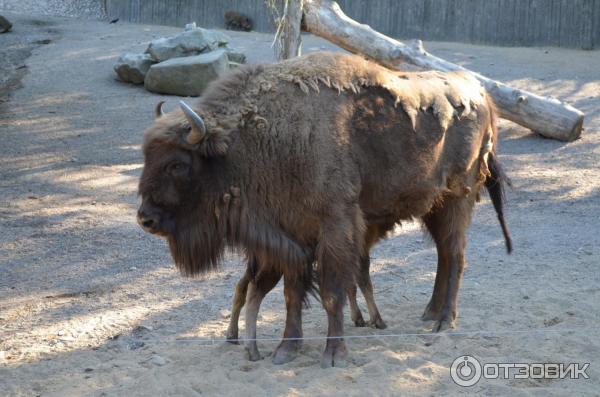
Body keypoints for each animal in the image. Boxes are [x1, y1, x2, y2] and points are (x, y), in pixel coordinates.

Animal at [137, 51, 510, 366]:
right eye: (147, 155)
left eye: (177, 164)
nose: (145, 219)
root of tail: (481, 94)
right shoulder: (291, 236)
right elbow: (292, 293)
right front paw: (286, 350)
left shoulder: (335, 228)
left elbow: (332, 293)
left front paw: (334, 354)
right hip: (434, 206)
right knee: (444, 255)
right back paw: (430, 313)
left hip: (458, 199)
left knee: (455, 256)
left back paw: (444, 321)